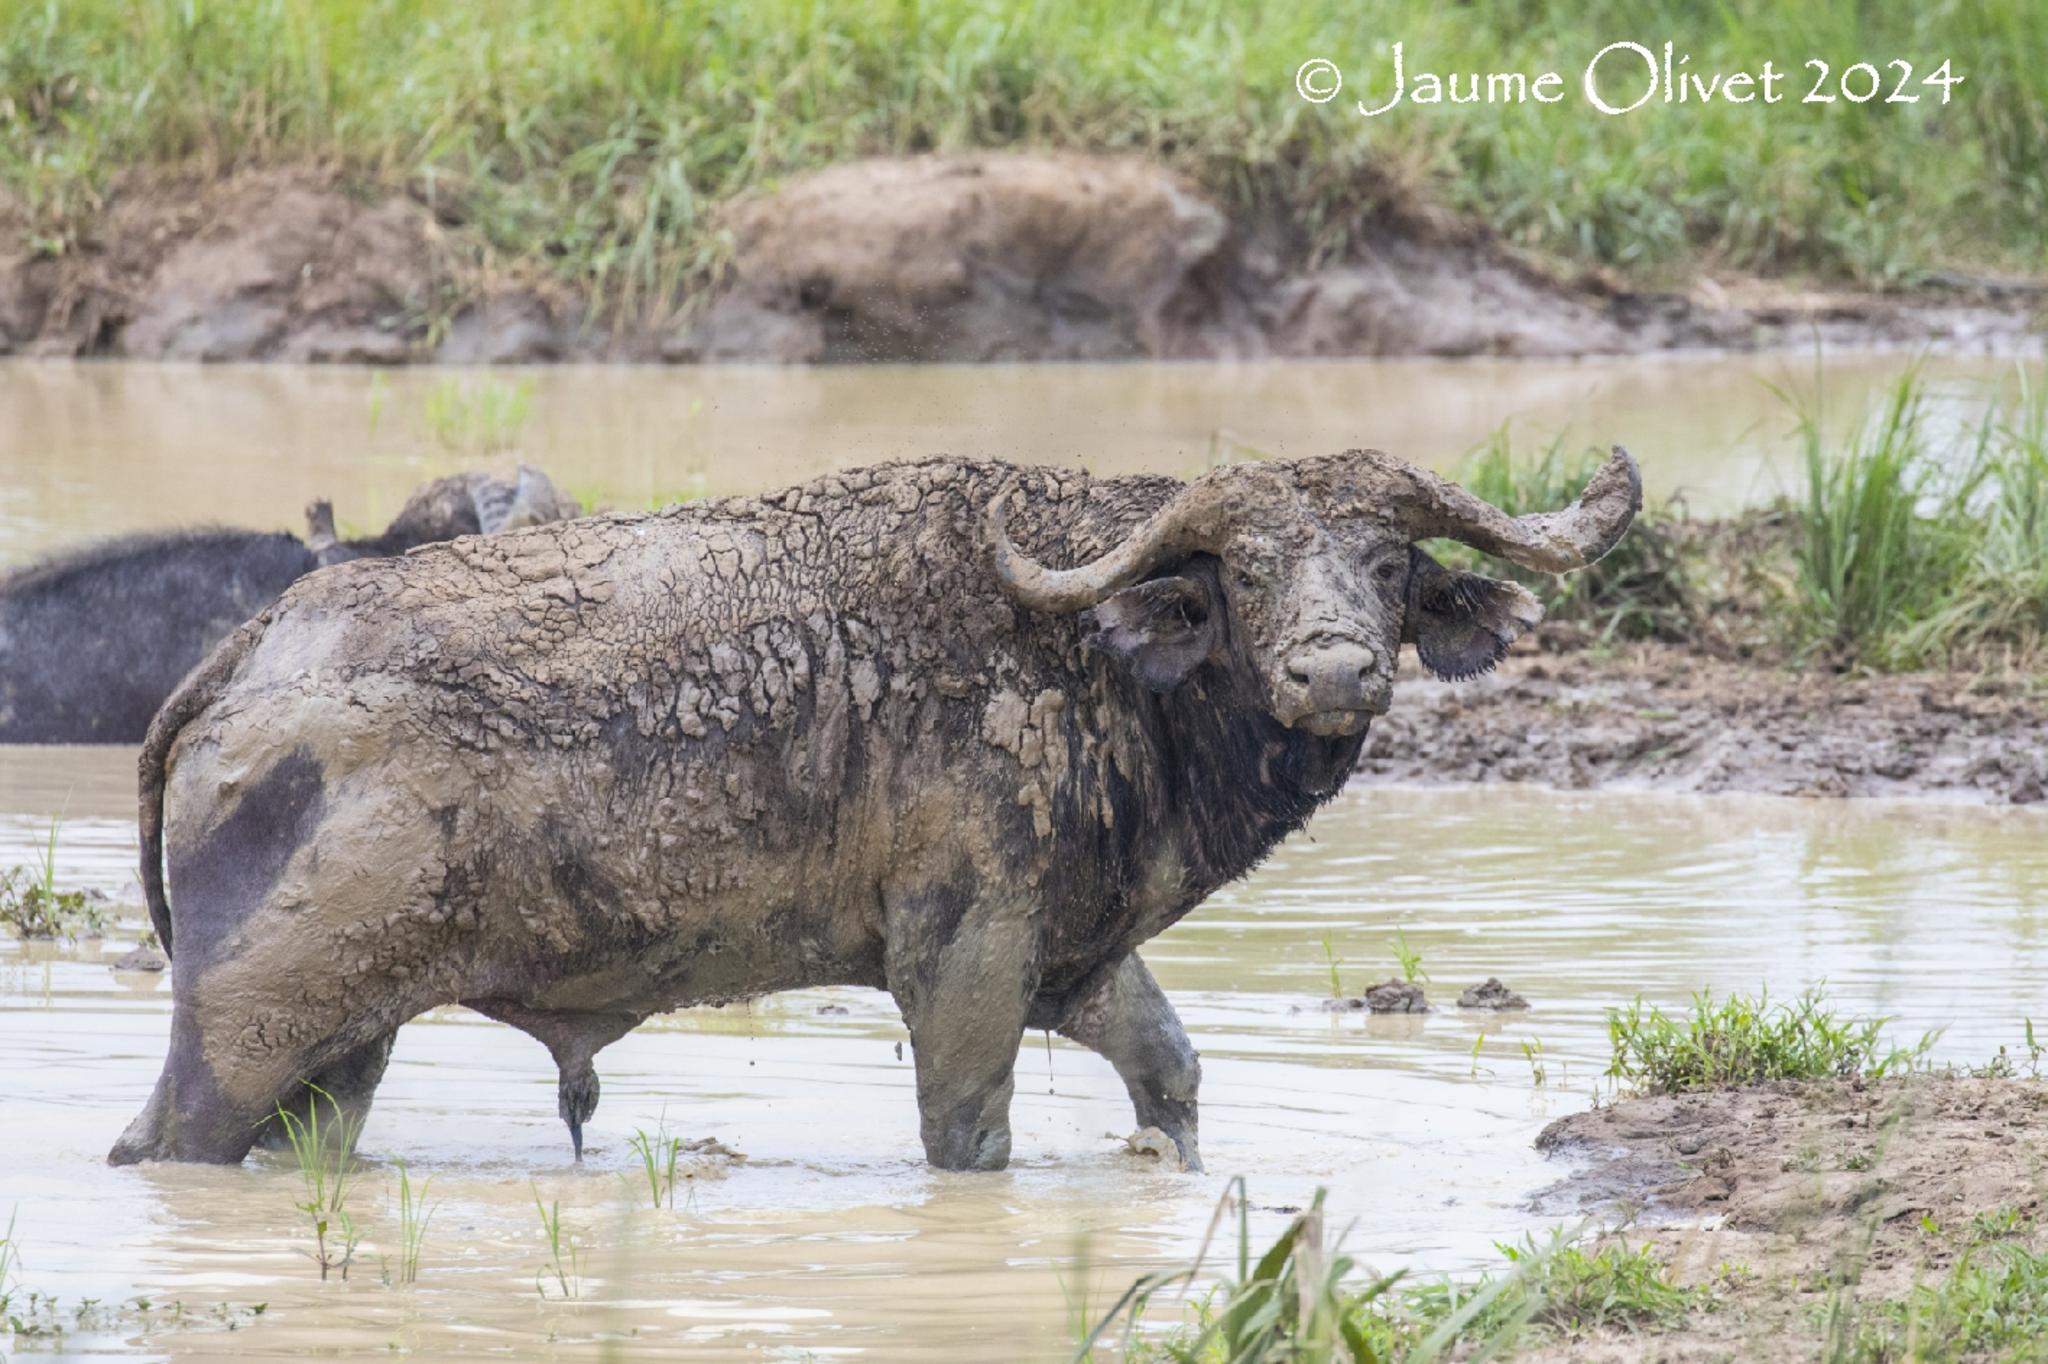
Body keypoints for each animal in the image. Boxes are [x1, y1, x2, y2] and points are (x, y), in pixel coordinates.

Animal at [119, 446, 1638, 1171]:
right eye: (1249, 571)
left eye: (1384, 563)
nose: (1332, 671)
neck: (1092, 658)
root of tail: (256, 653)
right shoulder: (961, 961)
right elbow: (969, 1138)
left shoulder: (1078, 959)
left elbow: (1173, 1077)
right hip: (247, 1035)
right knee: (165, 1145)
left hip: (344, 1050)